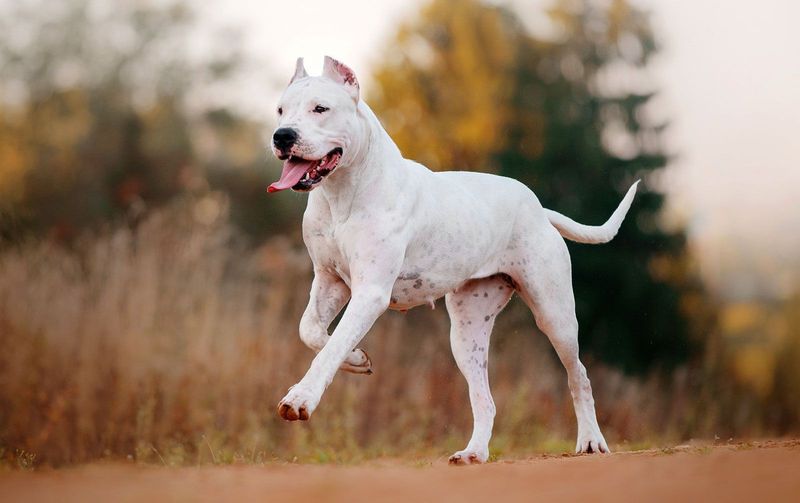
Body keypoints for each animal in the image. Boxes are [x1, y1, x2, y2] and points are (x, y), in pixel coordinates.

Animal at [268, 56, 636, 464]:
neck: (341, 194)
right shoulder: (329, 281)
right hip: (466, 332)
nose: (282, 136)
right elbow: (311, 331)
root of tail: (539, 208)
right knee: (484, 399)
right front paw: (357, 358)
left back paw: (590, 440)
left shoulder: (370, 293)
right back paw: (474, 452)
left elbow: (329, 349)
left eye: (321, 108)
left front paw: (301, 397)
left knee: (578, 375)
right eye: (281, 110)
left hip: (555, 315)